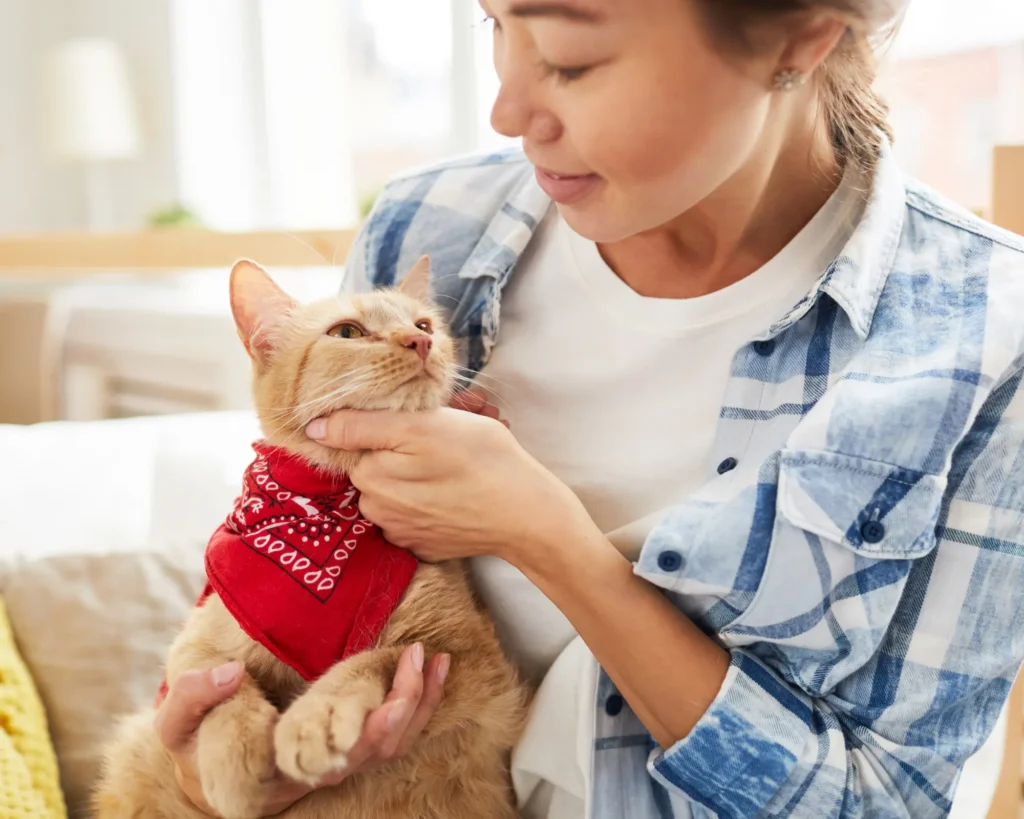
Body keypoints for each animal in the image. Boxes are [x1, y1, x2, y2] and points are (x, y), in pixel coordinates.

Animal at [93, 257, 528, 818]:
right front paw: (235, 754)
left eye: (423, 324)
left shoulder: (473, 660)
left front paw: (318, 716)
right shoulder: (196, 645)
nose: (420, 342)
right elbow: (222, 685)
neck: (329, 513)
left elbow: (375, 659)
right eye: (348, 332)